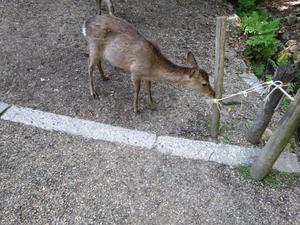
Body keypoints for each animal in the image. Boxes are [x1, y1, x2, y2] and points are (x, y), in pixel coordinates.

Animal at [81, 14, 214, 112]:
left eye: (209, 78)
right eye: (204, 83)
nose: (213, 93)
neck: (153, 67)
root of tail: (85, 24)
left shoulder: (147, 76)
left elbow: (149, 88)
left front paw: (152, 105)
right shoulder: (135, 71)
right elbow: (138, 90)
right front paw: (136, 109)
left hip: (99, 51)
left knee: (98, 62)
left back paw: (104, 77)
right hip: (93, 45)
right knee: (89, 67)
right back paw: (93, 92)